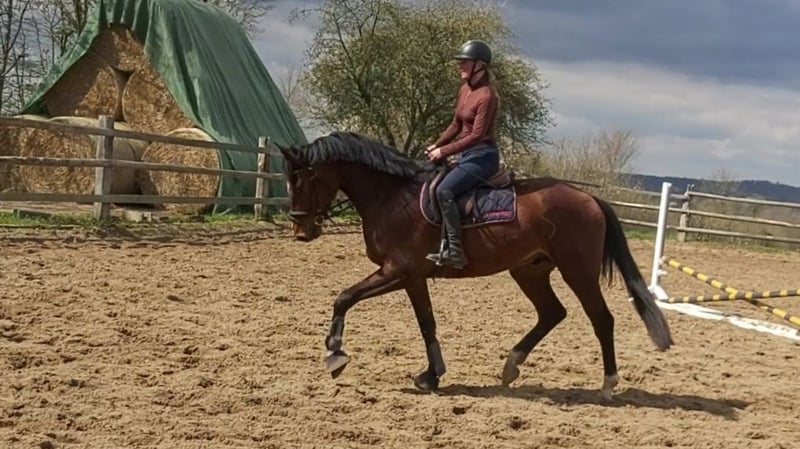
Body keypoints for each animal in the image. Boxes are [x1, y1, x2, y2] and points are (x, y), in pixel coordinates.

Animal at [276, 131, 673, 398]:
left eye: (302, 178)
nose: (300, 230)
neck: (391, 197)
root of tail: (589, 197)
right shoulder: (412, 278)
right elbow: (426, 323)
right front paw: (432, 375)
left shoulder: (398, 271)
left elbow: (344, 297)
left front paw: (335, 354)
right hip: (529, 270)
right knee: (552, 313)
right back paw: (511, 366)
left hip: (578, 272)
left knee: (601, 320)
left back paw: (607, 385)